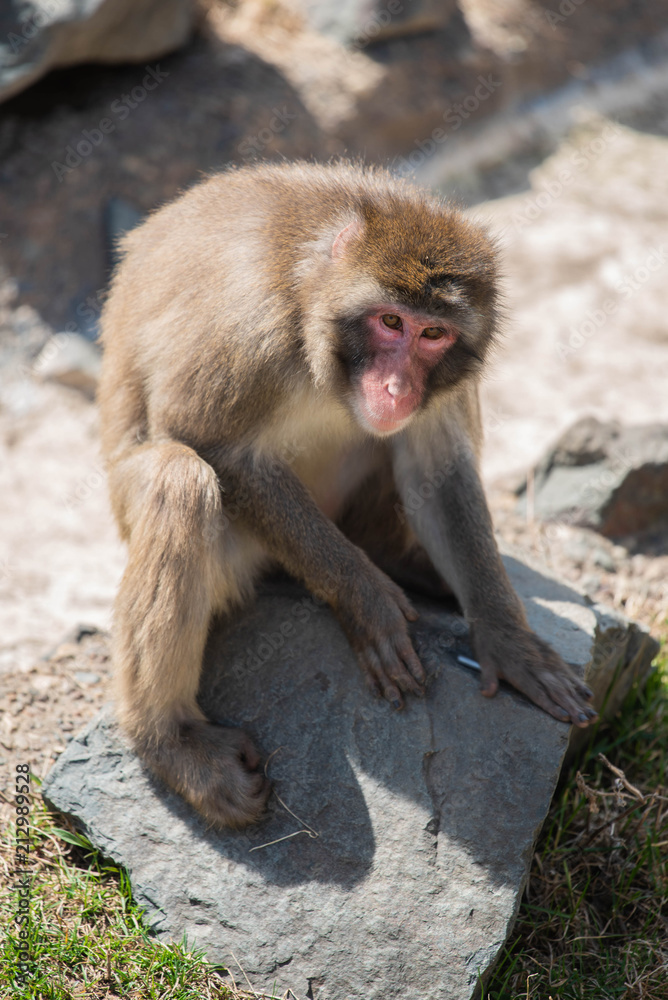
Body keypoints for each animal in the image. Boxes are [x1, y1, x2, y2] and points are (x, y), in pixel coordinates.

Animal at [96, 162, 596, 828]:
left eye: (432, 333)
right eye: (390, 322)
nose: (396, 387)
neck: (311, 295)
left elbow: (437, 464)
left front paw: (506, 636)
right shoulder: (247, 322)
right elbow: (207, 438)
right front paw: (365, 600)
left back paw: (404, 563)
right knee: (178, 482)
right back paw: (172, 742)